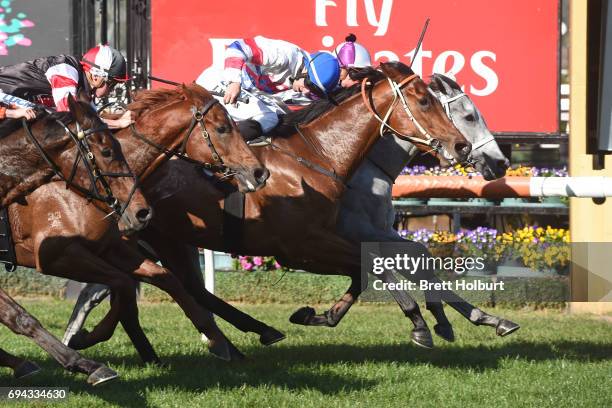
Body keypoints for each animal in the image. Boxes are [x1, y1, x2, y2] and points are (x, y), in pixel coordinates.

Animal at [6, 83, 280, 364]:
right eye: (223, 128)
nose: (260, 173)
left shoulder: (112, 248)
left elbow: (154, 283)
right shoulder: (57, 254)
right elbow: (123, 296)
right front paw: (84, 339)